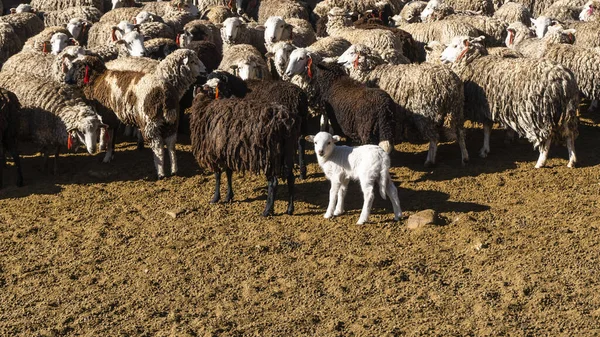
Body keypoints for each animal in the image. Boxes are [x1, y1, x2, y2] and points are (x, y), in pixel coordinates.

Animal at [338, 43, 468, 167]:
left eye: (351, 52)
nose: (338, 61)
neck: (372, 71)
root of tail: (448, 81)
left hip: (426, 113)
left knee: (434, 137)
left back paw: (429, 161)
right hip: (457, 108)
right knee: (460, 133)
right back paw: (465, 158)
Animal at [440, 34, 576, 168]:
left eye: (455, 45)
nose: (441, 57)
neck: (475, 61)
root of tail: (563, 79)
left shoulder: (483, 106)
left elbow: (486, 129)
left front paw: (484, 150)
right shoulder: (488, 107)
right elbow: (487, 128)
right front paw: (485, 149)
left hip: (540, 112)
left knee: (547, 137)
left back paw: (541, 162)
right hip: (567, 110)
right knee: (569, 134)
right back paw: (572, 161)